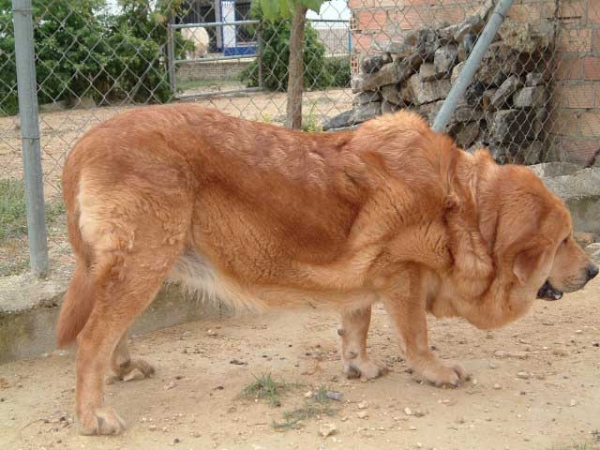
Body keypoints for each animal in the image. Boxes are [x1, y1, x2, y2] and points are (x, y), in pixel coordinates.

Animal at [55, 103, 596, 434]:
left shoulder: (369, 281)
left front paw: (358, 365)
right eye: (565, 240)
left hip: (138, 267)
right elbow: (417, 337)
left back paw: (125, 366)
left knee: (110, 330)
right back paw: (93, 414)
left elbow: (357, 325)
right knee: (92, 340)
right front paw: (435, 372)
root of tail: (83, 143)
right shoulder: (404, 276)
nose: (593, 272)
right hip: (145, 263)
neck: (465, 206)